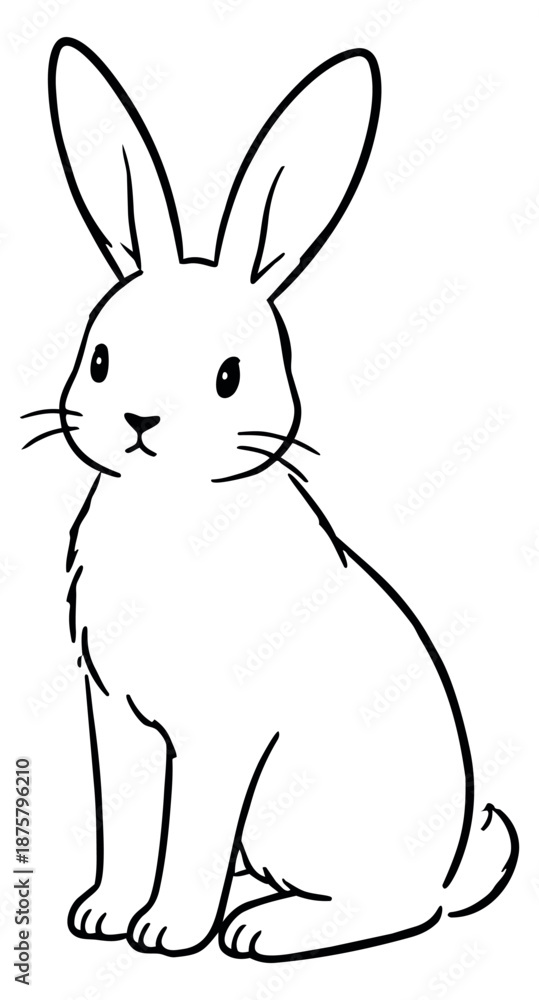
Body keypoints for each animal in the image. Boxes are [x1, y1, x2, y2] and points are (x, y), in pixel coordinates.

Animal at [24, 36, 517, 961]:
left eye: (229, 376)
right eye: (99, 359)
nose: (140, 420)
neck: (172, 512)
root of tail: (446, 868)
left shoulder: (219, 739)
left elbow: (190, 837)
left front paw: (166, 933)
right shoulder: (117, 720)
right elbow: (124, 823)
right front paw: (101, 916)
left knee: (391, 909)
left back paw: (259, 929)